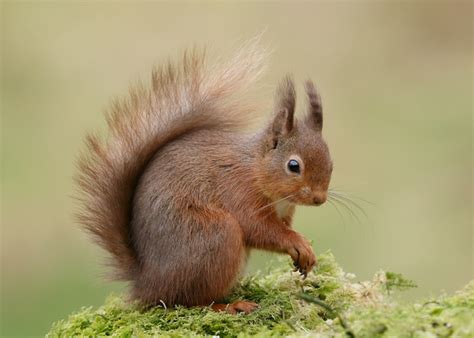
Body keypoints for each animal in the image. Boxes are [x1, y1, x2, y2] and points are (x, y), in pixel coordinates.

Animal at [75, 40, 334, 314]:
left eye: (331, 161)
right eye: (293, 165)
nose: (319, 199)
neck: (256, 168)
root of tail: (148, 283)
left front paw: (304, 257)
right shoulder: (238, 190)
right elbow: (260, 228)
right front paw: (297, 242)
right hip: (216, 236)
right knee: (191, 300)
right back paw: (231, 305)